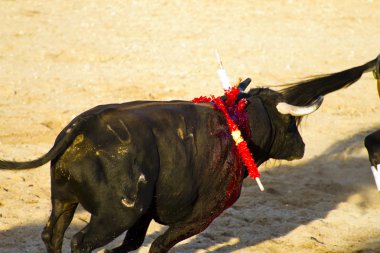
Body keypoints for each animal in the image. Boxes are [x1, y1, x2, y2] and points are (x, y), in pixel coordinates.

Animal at [0, 56, 378, 252]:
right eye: (290, 123)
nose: (302, 148)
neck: (237, 122)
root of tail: (81, 126)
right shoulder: (203, 213)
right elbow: (158, 245)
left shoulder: (145, 213)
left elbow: (132, 244)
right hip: (115, 214)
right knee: (81, 241)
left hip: (64, 199)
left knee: (53, 234)